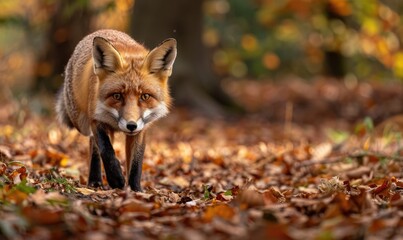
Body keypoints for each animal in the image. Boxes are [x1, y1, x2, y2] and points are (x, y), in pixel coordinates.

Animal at [55, 29, 177, 191]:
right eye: (117, 96)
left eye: (145, 96)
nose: (131, 125)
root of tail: (102, 30)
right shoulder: (96, 119)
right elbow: (106, 150)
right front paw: (116, 179)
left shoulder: (141, 129)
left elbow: (136, 163)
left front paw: (135, 189)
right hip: (81, 123)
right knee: (94, 145)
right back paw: (95, 180)